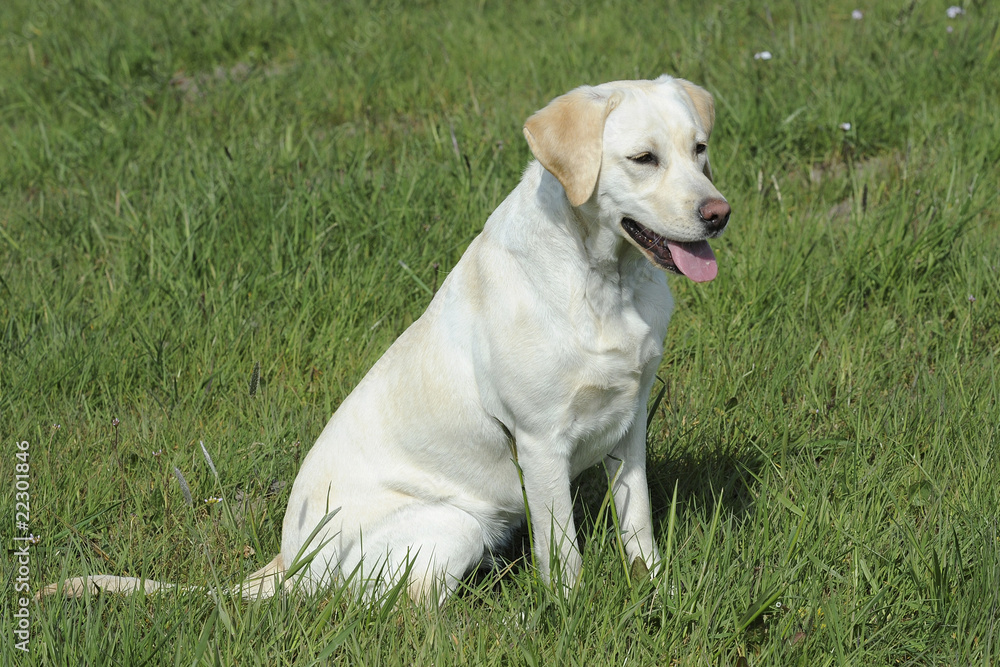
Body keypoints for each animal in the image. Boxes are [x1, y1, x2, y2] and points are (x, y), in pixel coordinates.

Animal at [41, 73, 728, 604]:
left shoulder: (629, 421)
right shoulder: (540, 444)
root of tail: (288, 566)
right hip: (455, 521)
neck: (604, 281)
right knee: (406, 608)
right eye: (643, 159)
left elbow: (639, 525)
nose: (719, 213)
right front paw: (572, 612)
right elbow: (563, 554)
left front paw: (657, 591)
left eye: (699, 151)